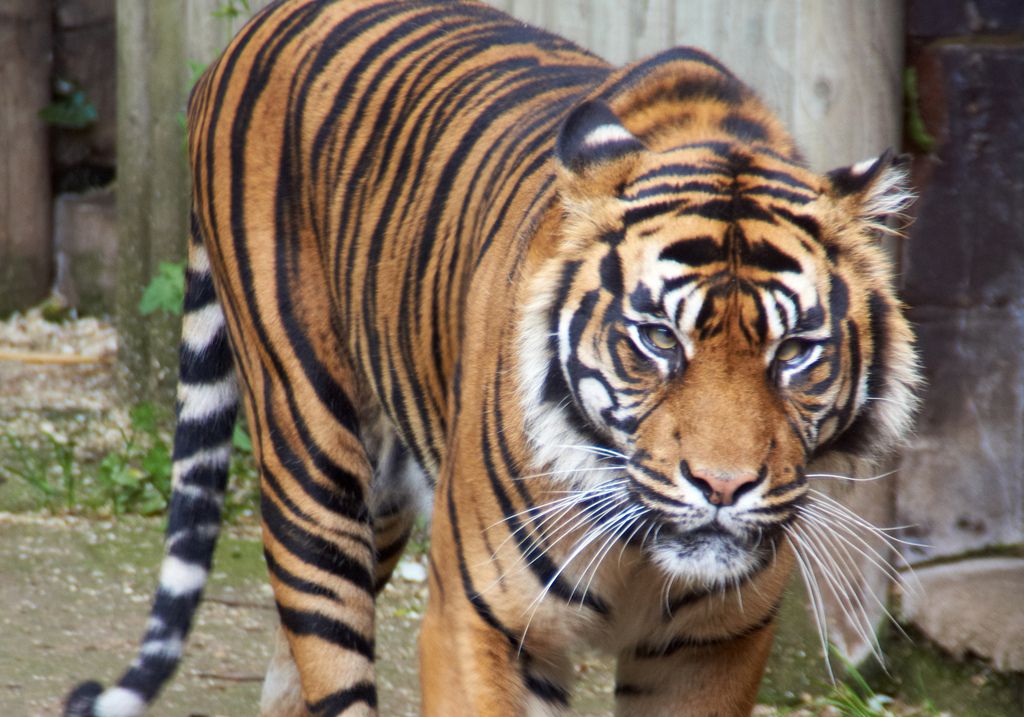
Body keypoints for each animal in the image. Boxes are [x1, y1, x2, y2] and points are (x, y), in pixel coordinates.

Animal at [61, 1, 921, 717]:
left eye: (795, 351)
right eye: (657, 338)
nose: (723, 486)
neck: (642, 552)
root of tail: (256, 26)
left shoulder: (710, 647)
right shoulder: (484, 621)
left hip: (384, 501)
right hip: (310, 456)